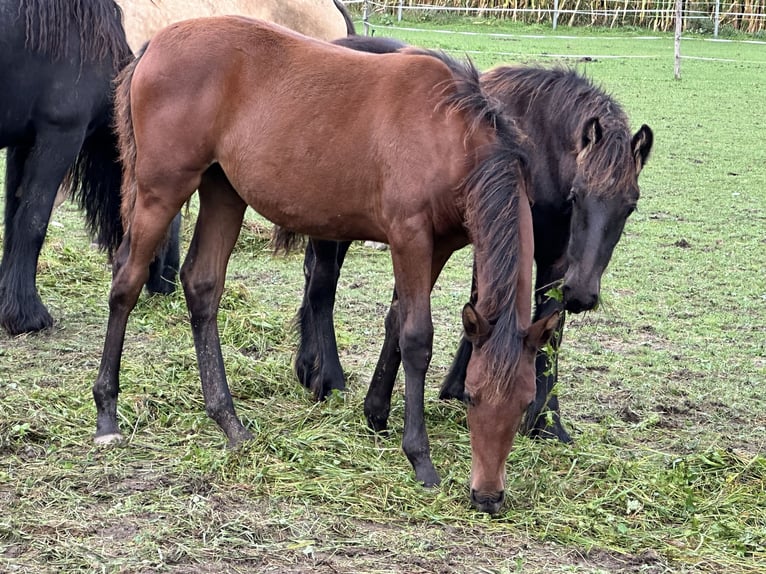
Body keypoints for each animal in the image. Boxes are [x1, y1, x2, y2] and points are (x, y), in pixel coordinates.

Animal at [0, 0, 178, 338]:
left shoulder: (23, 144)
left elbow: (13, 222)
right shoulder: (59, 136)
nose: (170, 283)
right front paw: (27, 316)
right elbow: (33, 222)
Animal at [93, 18, 556, 516]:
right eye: (471, 396)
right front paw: (420, 458)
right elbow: (417, 338)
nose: (488, 496)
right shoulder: (409, 237)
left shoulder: (439, 247)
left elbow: (397, 321)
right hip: (161, 190)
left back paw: (229, 421)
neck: (448, 130)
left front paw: (376, 413)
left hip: (223, 190)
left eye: (525, 401)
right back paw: (107, 414)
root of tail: (155, 44)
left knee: (202, 286)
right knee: (126, 282)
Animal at [294, 38, 656, 444]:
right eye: (577, 195)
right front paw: (459, 388)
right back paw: (329, 380)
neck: (539, 144)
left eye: (630, 206)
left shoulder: (556, 260)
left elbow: (549, 331)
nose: (582, 295)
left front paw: (548, 423)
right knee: (322, 288)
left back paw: (307, 367)